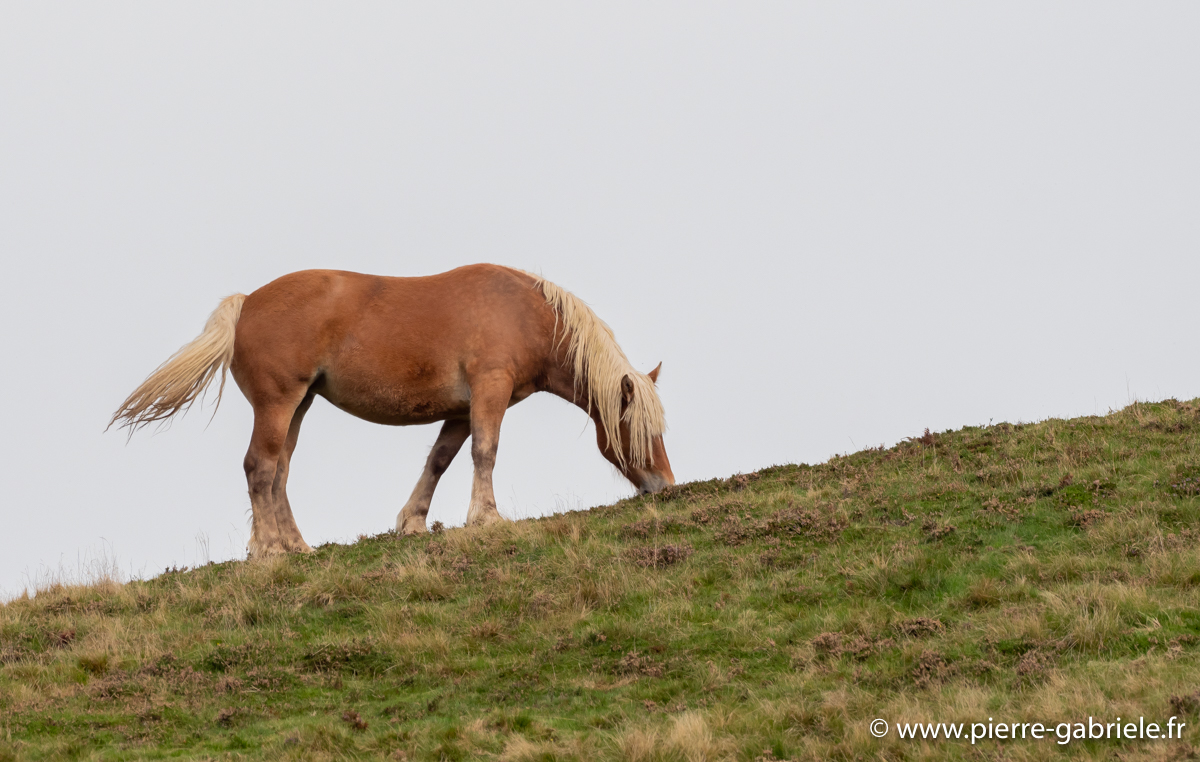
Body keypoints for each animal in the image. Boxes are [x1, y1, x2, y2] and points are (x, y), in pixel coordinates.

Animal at [109, 264, 674, 556]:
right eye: (639, 427)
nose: (665, 485)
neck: (523, 312)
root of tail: (246, 302)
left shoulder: (462, 409)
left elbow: (440, 460)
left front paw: (413, 522)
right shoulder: (489, 392)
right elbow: (486, 453)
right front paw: (487, 518)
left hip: (300, 405)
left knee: (280, 472)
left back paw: (298, 547)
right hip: (277, 402)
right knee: (260, 467)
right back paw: (269, 550)